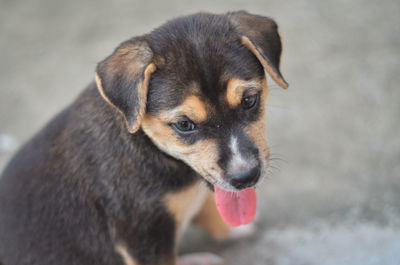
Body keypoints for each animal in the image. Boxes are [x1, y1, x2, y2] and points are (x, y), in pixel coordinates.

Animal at [0, 10, 288, 264]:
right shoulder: (144, 234)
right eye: (184, 125)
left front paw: (230, 228)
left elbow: (210, 204)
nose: (246, 177)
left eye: (249, 100)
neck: (149, 146)